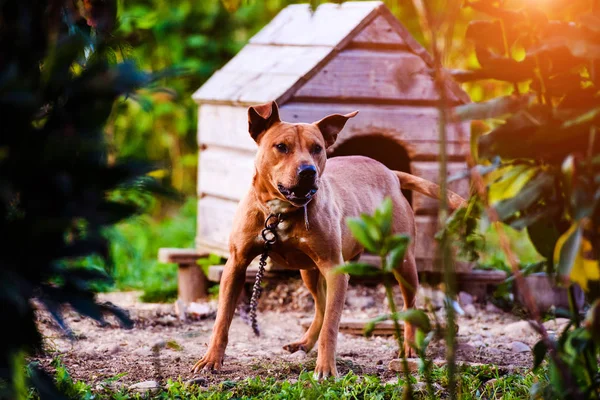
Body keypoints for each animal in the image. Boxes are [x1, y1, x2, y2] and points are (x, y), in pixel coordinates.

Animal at [192, 100, 464, 378]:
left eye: (317, 148)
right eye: (281, 147)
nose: (308, 171)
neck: (280, 213)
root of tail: (391, 173)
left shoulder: (335, 271)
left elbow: (331, 327)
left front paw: (326, 368)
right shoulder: (236, 265)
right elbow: (222, 319)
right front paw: (211, 359)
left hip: (403, 264)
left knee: (409, 305)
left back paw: (408, 346)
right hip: (309, 272)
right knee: (320, 305)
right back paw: (305, 342)